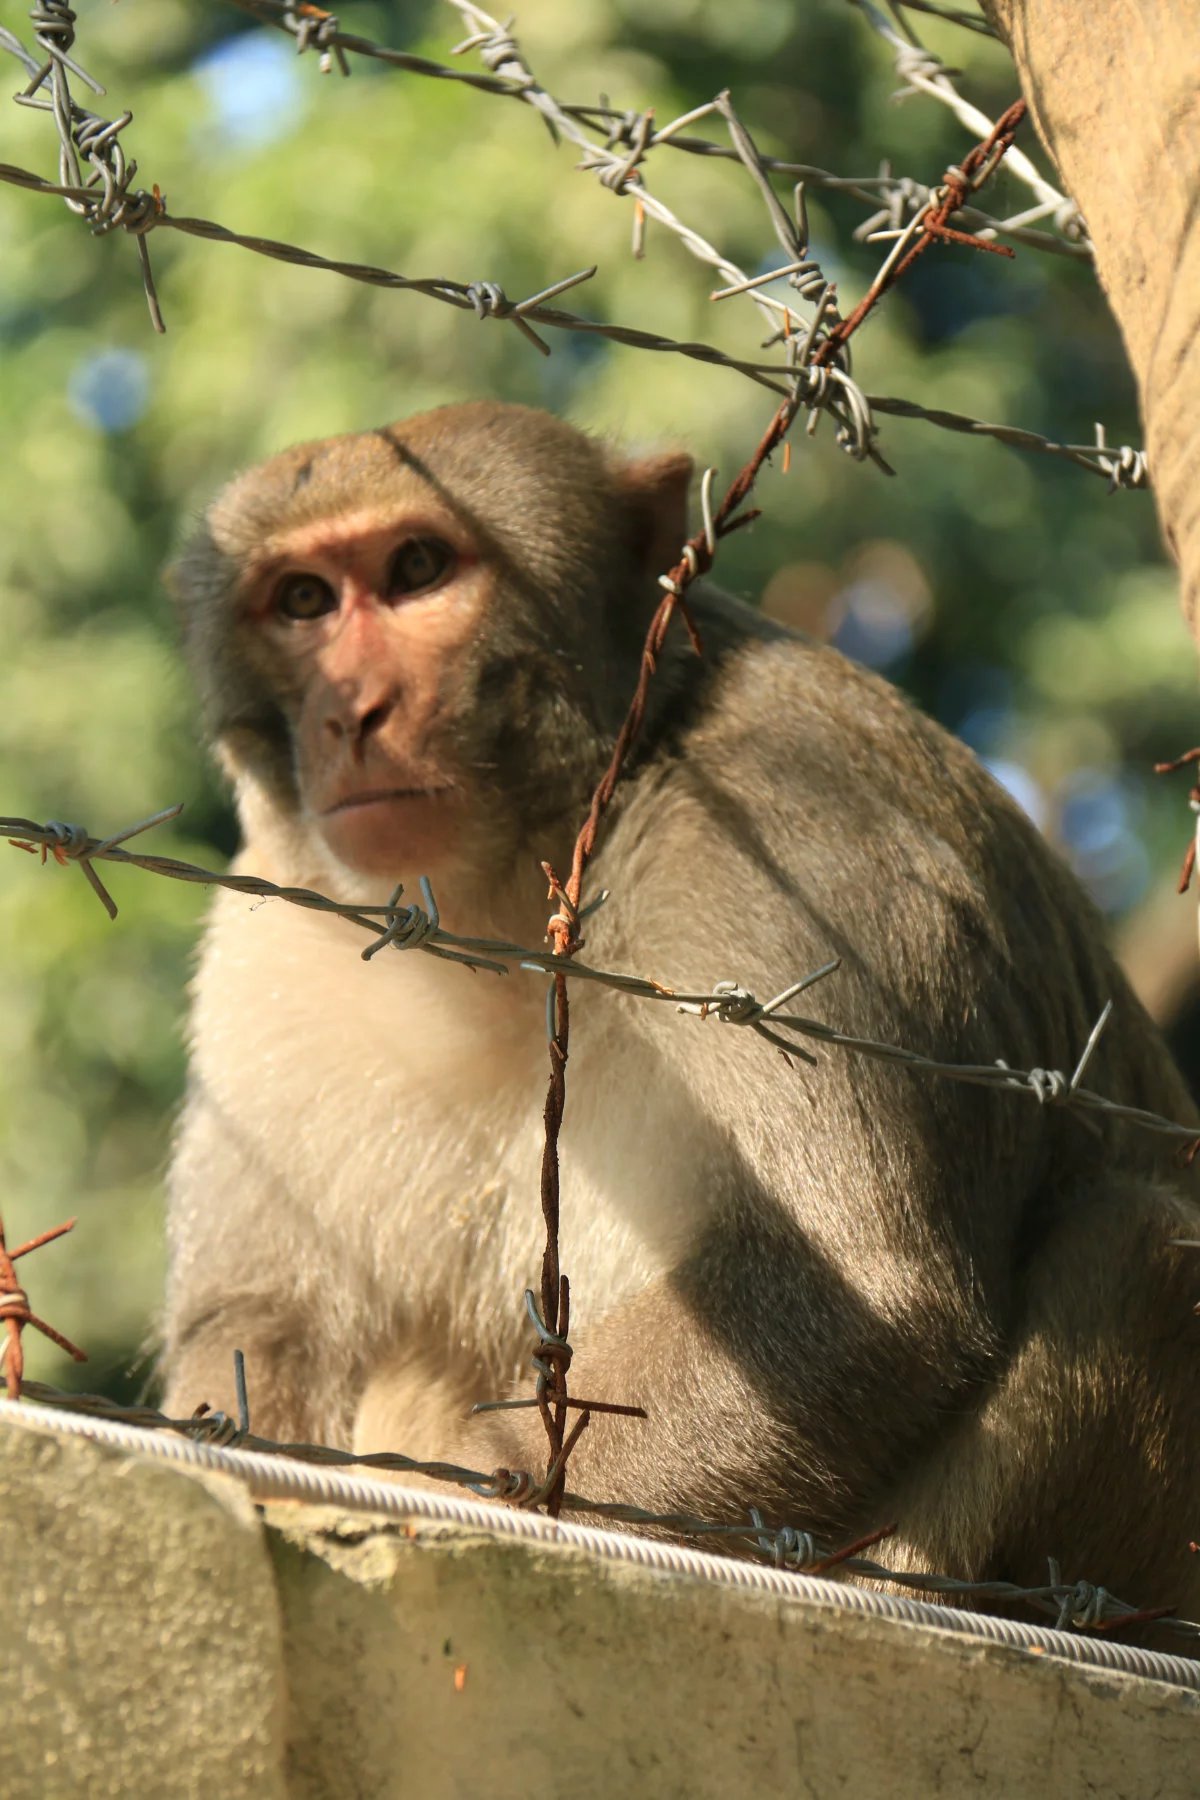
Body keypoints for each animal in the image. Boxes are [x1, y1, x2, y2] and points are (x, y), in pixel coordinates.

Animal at [164, 405, 1200, 1634]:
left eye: (417, 569)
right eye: (303, 600)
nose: (349, 713)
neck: (511, 911)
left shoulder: (790, 837)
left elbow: (860, 1290)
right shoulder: (276, 939)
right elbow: (256, 1326)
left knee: (1141, 1245)